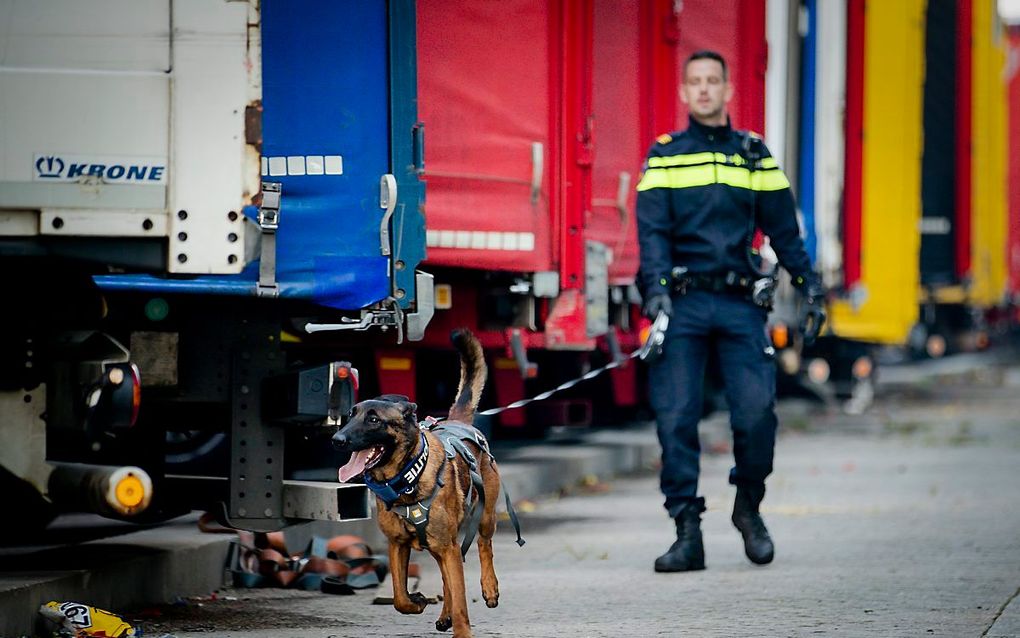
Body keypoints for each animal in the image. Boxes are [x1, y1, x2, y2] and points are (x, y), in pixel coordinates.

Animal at [332, 330, 503, 632]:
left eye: (374, 420)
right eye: (350, 415)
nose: (337, 439)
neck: (407, 481)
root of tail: (459, 421)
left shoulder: (449, 547)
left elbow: (461, 600)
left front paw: (462, 629)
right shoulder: (398, 545)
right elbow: (400, 596)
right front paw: (418, 600)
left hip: (484, 516)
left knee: (485, 545)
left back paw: (489, 588)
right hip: (438, 546)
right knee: (447, 579)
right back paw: (444, 614)